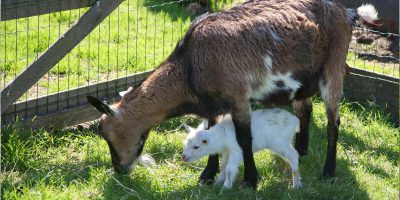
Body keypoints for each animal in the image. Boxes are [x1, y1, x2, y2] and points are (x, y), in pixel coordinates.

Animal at [87, 0, 378, 188]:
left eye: (106, 134)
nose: (119, 169)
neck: (190, 68)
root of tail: (347, 12)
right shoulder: (212, 106)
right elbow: (211, 134)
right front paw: (207, 174)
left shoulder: (239, 97)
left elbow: (244, 139)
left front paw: (250, 179)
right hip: (302, 80)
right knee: (305, 108)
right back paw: (302, 149)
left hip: (334, 67)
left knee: (333, 122)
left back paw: (328, 171)